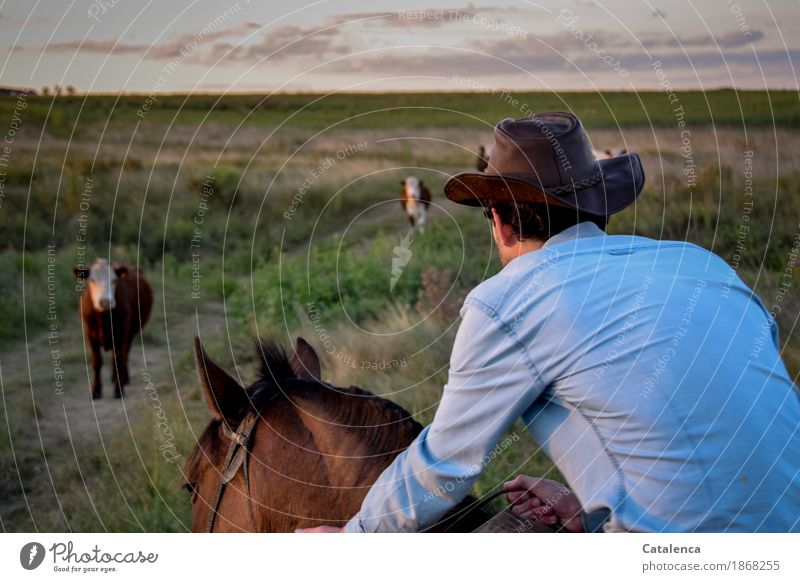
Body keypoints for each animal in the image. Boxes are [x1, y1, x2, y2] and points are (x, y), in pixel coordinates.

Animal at [74, 260, 152, 402]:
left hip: (130, 333)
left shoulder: (123, 332)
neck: (104, 319)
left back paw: (123, 378)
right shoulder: (89, 335)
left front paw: (118, 389)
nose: (105, 301)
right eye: (92, 280)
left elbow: (119, 359)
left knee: (124, 354)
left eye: (114, 280)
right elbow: (97, 362)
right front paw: (96, 391)